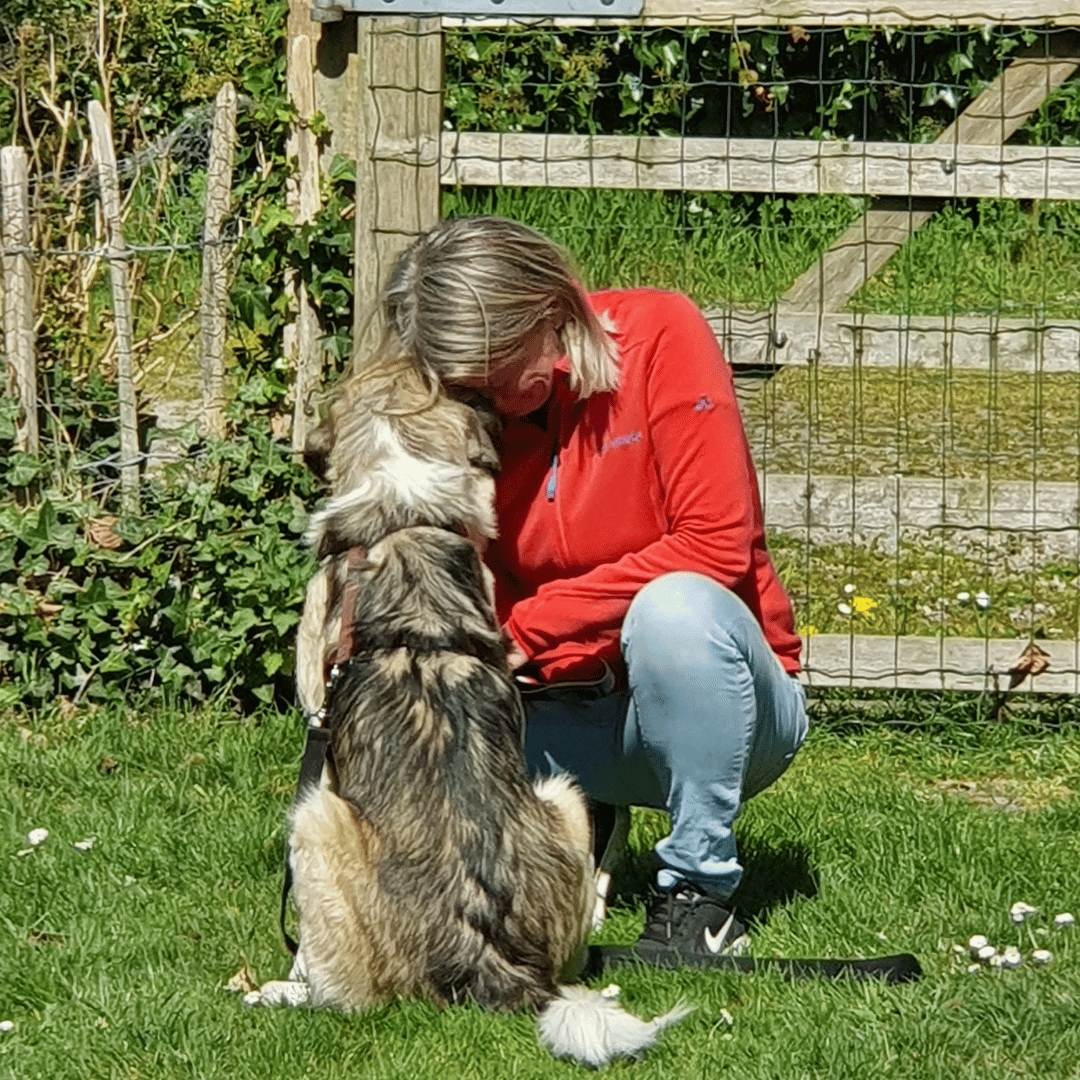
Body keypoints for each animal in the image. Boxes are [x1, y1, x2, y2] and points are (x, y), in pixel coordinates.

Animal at [264, 358, 686, 1067]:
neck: (404, 517)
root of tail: (496, 958)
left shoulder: (319, 727)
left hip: (317, 822)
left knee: (347, 995)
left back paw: (279, 992)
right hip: (562, 797)